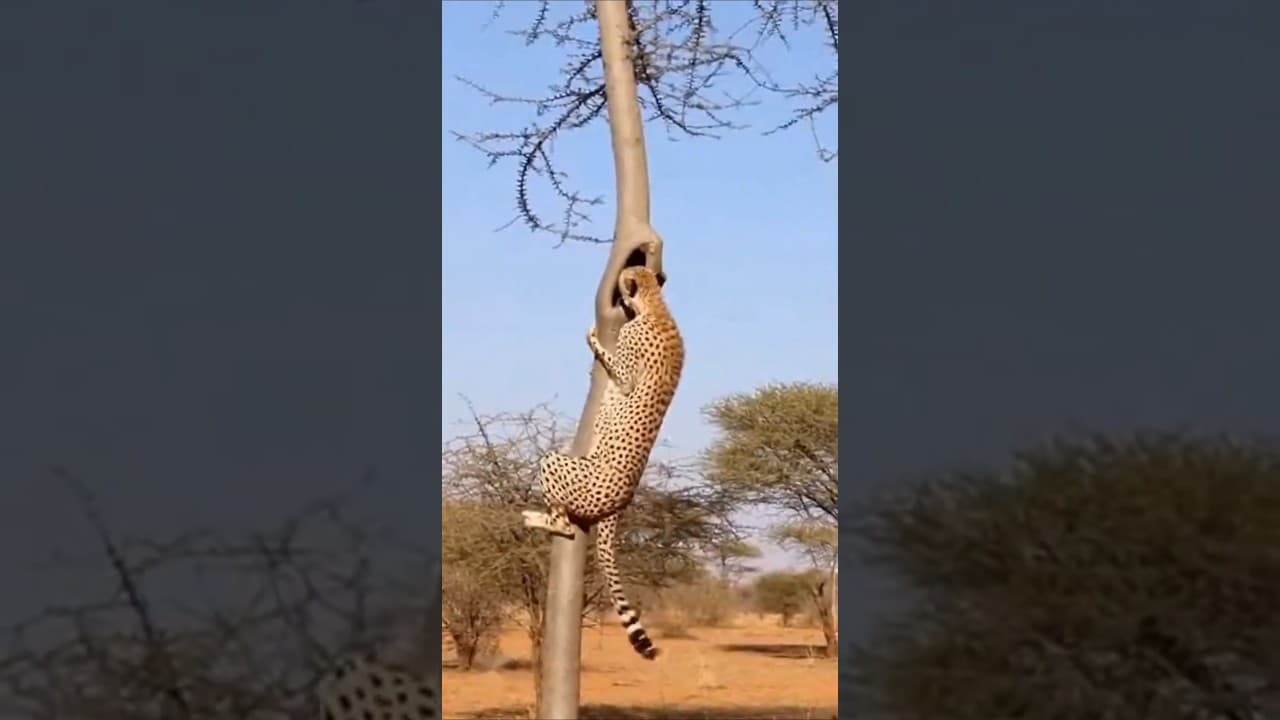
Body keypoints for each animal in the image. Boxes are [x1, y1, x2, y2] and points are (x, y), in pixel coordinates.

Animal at [521, 263, 685, 660]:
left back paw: (536, 518)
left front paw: (592, 336)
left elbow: (615, 369)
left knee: (564, 525)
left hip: (557, 466)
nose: (622, 281)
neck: (657, 307)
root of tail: (623, 501)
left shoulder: (626, 377)